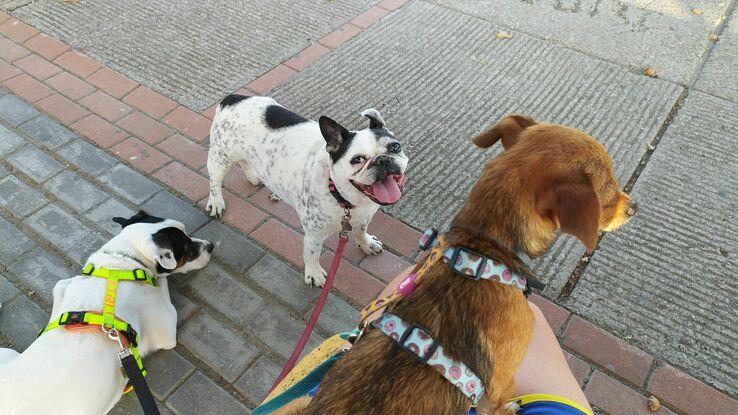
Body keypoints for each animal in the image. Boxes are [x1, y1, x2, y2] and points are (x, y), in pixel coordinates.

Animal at [0, 213, 213, 414]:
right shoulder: (166, 329)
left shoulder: (62, 287)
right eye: (186, 246)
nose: (210, 245)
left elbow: (60, 286)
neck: (121, 263)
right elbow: (162, 282)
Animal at [204, 96, 406, 288]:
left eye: (395, 147)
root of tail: (232, 98)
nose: (382, 160)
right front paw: (314, 273)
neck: (342, 196)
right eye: (357, 160)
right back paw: (216, 202)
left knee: (245, 161)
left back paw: (254, 177)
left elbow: (361, 231)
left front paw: (366, 243)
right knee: (215, 181)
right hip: (220, 157)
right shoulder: (314, 236)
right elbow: (312, 254)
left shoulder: (364, 217)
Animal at [274, 114, 632, 415]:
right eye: (608, 189)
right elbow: (496, 406)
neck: (482, 246)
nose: (635, 208)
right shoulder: (499, 386)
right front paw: (511, 409)